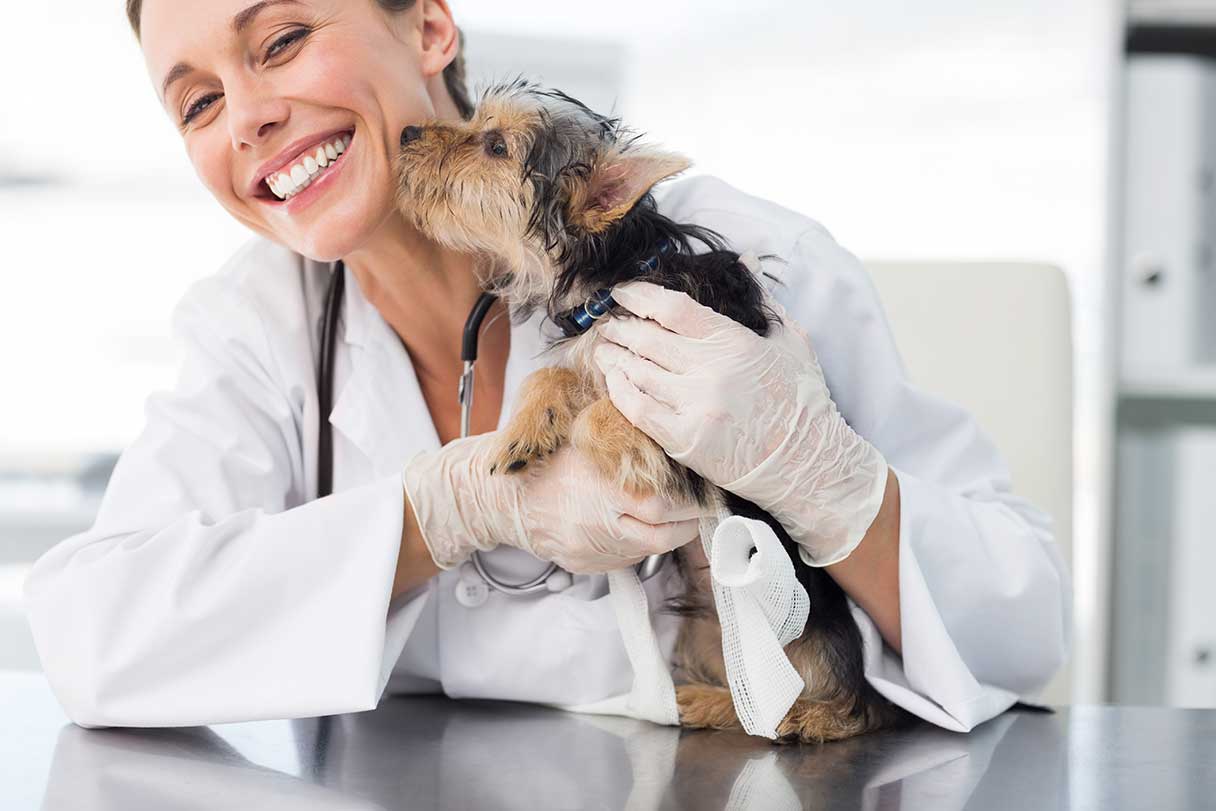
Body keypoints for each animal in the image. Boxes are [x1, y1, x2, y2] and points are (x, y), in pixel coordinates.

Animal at [396, 77, 904, 744]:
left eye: (496, 145)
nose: (406, 132)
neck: (613, 278)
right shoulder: (589, 351)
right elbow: (556, 374)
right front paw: (525, 431)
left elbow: (603, 416)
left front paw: (622, 446)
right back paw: (705, 700)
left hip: (809, 643)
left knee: (831, 711)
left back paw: (771, 711)